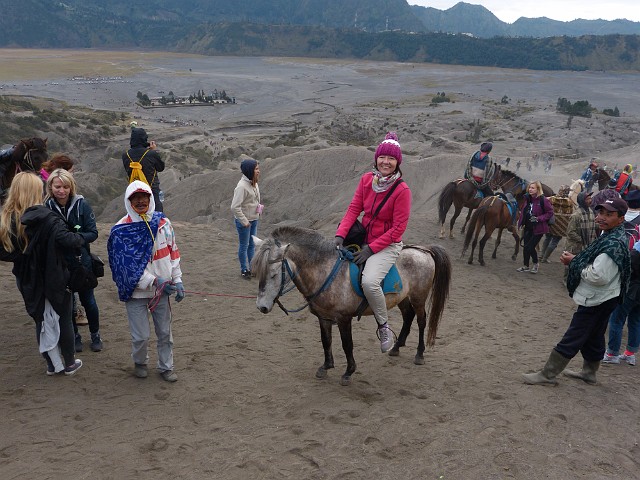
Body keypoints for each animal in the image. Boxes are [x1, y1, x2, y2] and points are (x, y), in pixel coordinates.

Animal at [252, 227, 452, 388]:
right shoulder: (323, 317)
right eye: (258, 273)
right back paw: (396, 347)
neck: (326, 272)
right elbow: (326, 342)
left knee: (421, 320)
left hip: (418, 297)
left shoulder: (343, 318)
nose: (262, 307)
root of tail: (424, 250)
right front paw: (326, 366)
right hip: (402, 297)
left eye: (274, 274)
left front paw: (348, 372)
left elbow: (347, 344)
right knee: (408, 315)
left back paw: (419, 353)